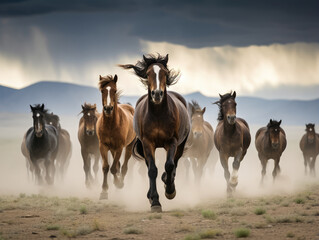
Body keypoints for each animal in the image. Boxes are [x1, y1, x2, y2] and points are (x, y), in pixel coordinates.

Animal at [119, 53, 190, 211]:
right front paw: (155, 202)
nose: (157, 94)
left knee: (175, 163)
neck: (158, 115)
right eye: (147, 73)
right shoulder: (148, 143)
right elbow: (152, 170)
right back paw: (150, 195)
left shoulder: (172, 142)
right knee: (149, 167)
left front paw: (170, 191)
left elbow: (169, 165)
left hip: (180, 145)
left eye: (166, 73)